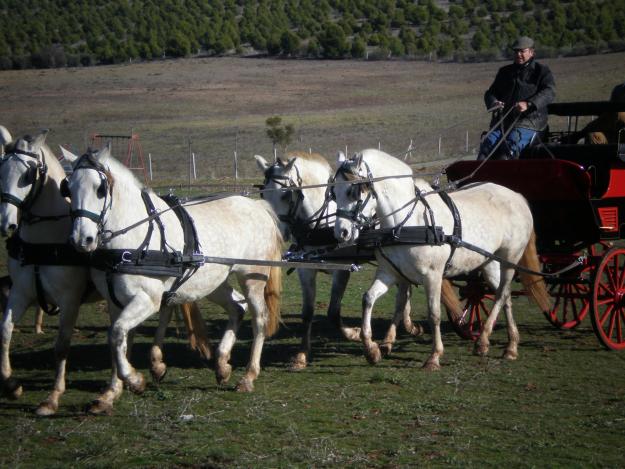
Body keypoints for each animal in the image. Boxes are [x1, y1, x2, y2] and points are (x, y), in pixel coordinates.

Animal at [0, 131, 210, 414]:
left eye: (27, 175)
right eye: (67, 187)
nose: (6, 223)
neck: (43, 242)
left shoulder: (69, 299)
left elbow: (62, 346)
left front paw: (52, 398)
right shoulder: (21, 293)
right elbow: (5, 332)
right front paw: (12, 385)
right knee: (163, 309)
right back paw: (155, 364)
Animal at [64, 144, 282, 394]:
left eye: (100, 189)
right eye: (67, 188)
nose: (82, 239)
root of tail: (257, 206)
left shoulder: (147, 298)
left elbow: (117, 332)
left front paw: (133, 378)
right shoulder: (114, 301)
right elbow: (120, 338)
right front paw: (116, 388)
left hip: (252, 278)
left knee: (259, 319)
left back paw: (248, 375)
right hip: (212, 282)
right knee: (236, 307)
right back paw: (222, 364)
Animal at [254, 152, 424, 368]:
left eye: (286, 194)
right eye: (263, 194)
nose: (278, 231)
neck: (321, 223)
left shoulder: (342, 269)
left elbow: (333, 313)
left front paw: (356, 333)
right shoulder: (305, 269)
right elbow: (307, 312)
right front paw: (301, 355)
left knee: (402, 292)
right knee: (405, 289)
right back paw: (409, 326)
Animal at [330, 150, 548, 370]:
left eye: (353, 191)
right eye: (333, 192)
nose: (341, 232)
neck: (406, 222)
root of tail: (517, 197)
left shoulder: (432, 275)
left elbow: (433, 313)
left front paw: (434, 356)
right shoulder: (390, 273)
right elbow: (369, 299)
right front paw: (372, 349)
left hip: (510, 259)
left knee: (502, 293)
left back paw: (486, 341)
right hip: (489, 263)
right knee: (505, 296)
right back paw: (508, 344)